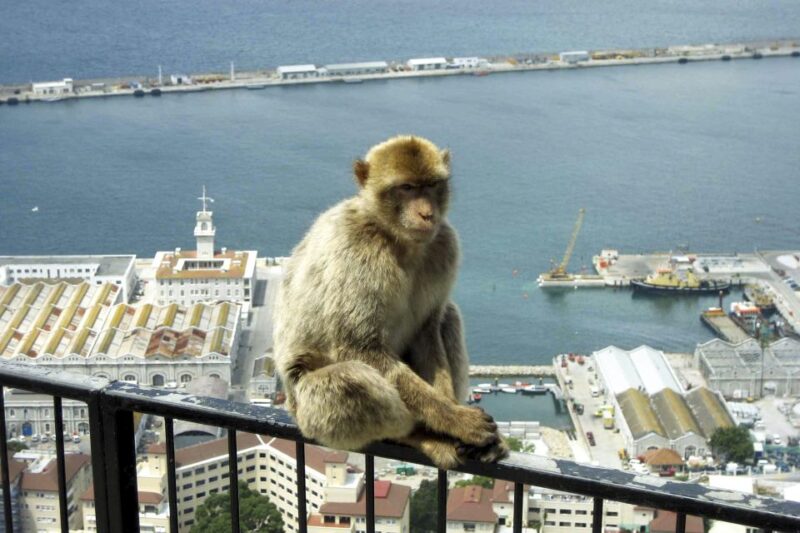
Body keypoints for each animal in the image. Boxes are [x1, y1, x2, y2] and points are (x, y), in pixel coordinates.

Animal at [273, 135, 508, 469]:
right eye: (406, 188)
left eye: (431, 185)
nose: (426, 213)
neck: (397, 239)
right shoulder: (358, 251)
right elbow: (359, 347)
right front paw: (457, 421)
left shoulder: (444, 245)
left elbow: (428, 330)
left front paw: (452, 416)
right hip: (305, 411)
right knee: (347, 381)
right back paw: (417, 434)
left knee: (448, 316)